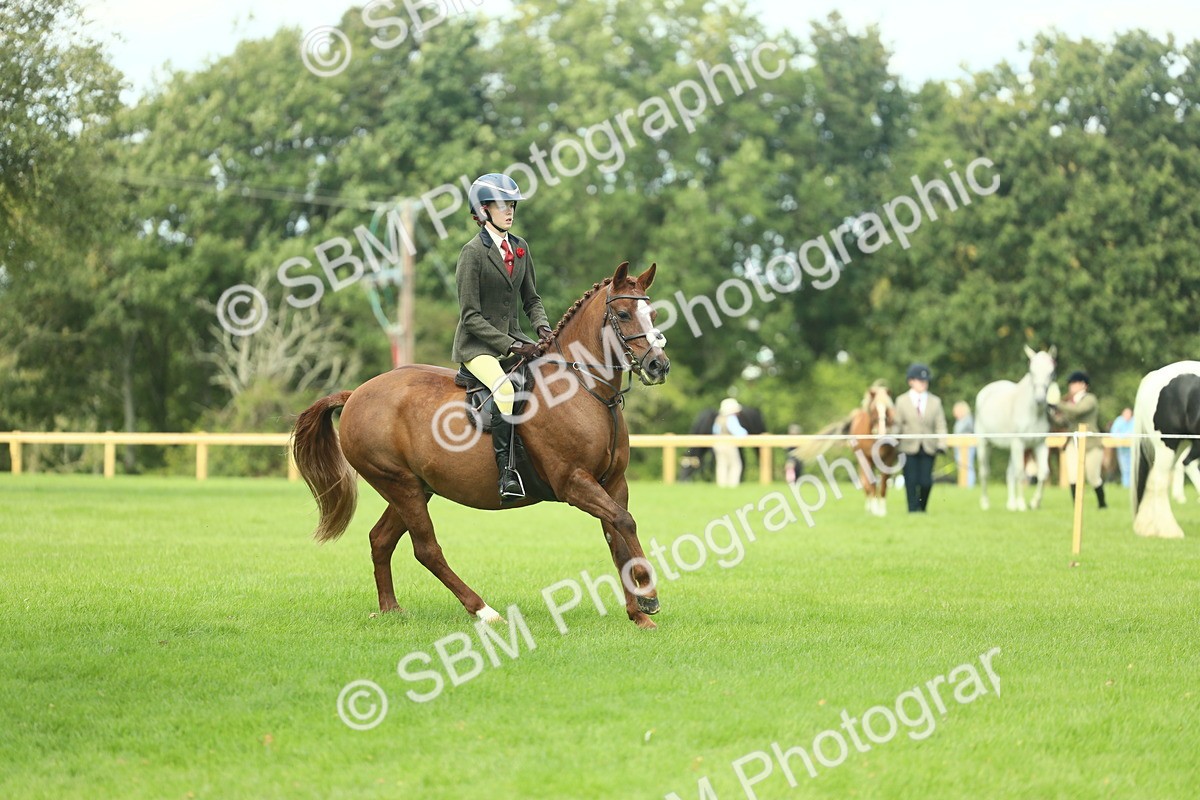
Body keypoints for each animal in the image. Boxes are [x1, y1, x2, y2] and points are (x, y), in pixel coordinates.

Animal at [290, 262, 670, 629]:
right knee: (426, 549)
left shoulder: (613, 483)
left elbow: (618, 539)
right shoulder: (574, 482)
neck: (582, 387)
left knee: (381, 539)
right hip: (399, 484)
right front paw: (649, 595)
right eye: (623, 314)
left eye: (652, 314)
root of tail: (356, 393)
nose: (659, 365)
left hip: (415, 487)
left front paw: (638, 613)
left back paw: (391, 610)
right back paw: (484, 611)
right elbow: (625, 522)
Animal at [975, 345, 1057, 510]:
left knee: (1009, 473)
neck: (1032, 412)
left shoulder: (1039, 444)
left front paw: (1034, 502)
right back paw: (986, 503)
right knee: (984, 472)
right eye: (1031, 371)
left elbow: (1043, 473)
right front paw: (1022, 504)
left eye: (1051, 372)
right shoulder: (1019, 443)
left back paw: (1011, 504)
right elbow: (1020, 473)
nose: (1039, 399)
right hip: (984, 444)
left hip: (1012, 449)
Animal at [1132, 360, 1200, 539]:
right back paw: (1169, 530)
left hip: (1180, 445)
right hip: (1168, 444)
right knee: (1160, 479)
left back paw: (1148, 528)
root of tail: (1154, 376)